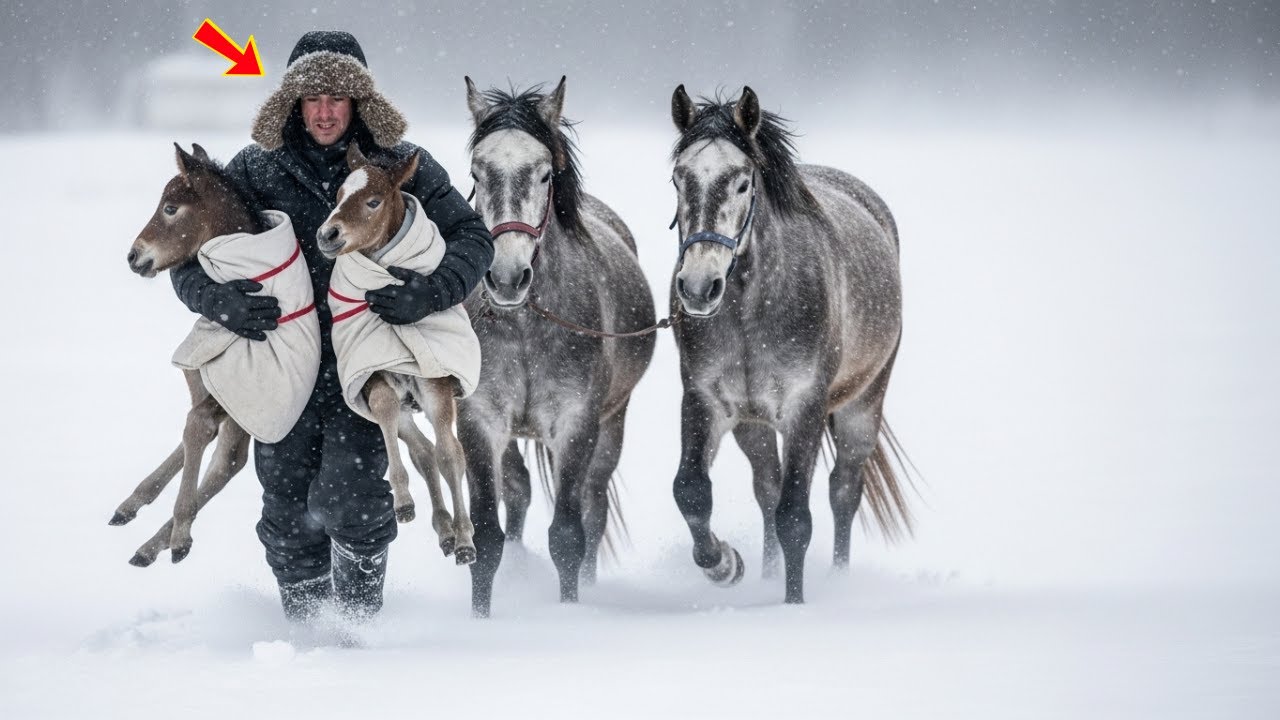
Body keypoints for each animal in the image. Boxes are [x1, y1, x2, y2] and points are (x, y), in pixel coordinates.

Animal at [316, 144, 477, 565]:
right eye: (339, 195)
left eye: (373, 201)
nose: (327, 234)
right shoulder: (372, 371)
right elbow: (387, 409)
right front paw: (403, 501)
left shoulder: (434, 382)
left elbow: (450, 455)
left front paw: (461, 535)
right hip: (406, 403)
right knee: (423, 451)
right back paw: (443, 530)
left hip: (430, 393)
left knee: (449, 453)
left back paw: (463, 537)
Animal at [460, 77, 657, 616]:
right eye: (477, 172)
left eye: (545, 174)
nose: (507, 277)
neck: (526, 327)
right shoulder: (480, 421)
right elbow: (486, 537)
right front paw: (480, 617)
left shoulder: (576, 424)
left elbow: (568, 535)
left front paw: (570, 612)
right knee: (518, 492)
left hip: (613, 422)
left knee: (594, 505)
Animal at [666, 86, 914, 604]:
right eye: (678, 179)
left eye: (743, 183)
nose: (698, 288)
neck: (749, 311)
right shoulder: (704, 401)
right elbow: (692, 491)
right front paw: (725, 564)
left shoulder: (805, 408)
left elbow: (796, 518)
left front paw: (794, 605)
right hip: (754, 425)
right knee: (767, 487)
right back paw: (764, 573)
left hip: (864, 403)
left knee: (843, 490)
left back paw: (838, 580)